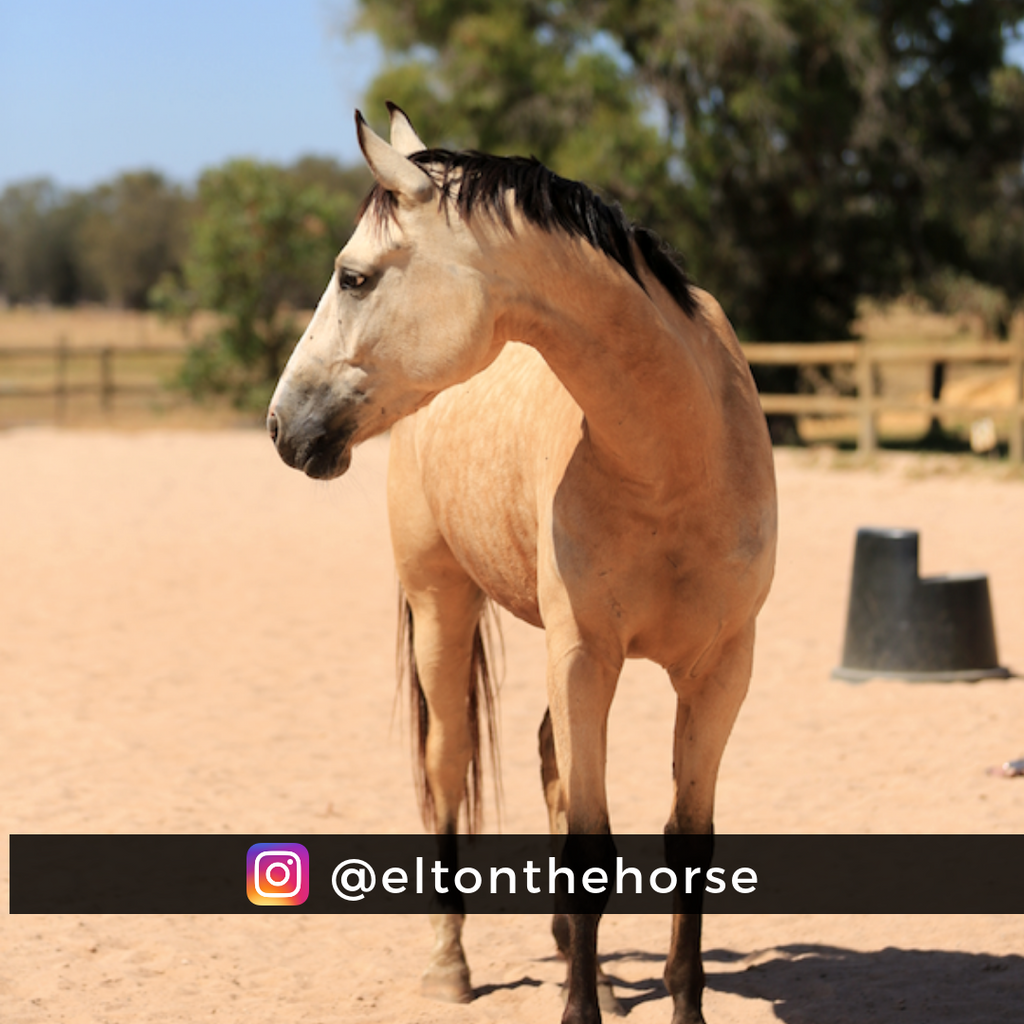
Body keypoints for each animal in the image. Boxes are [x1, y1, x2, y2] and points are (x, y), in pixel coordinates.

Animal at [266, 101, 774, 1024]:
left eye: (353, 277)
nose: (283, 424)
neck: (676, 459)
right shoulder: (582, 655)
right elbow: (587, 847)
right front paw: (575, 1011)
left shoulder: (721, 669)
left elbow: (687, 845)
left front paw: (674, 1004)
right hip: (444, 612)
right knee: (447, 773)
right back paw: (452, 966)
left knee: (544, 758)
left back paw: (592, 968)